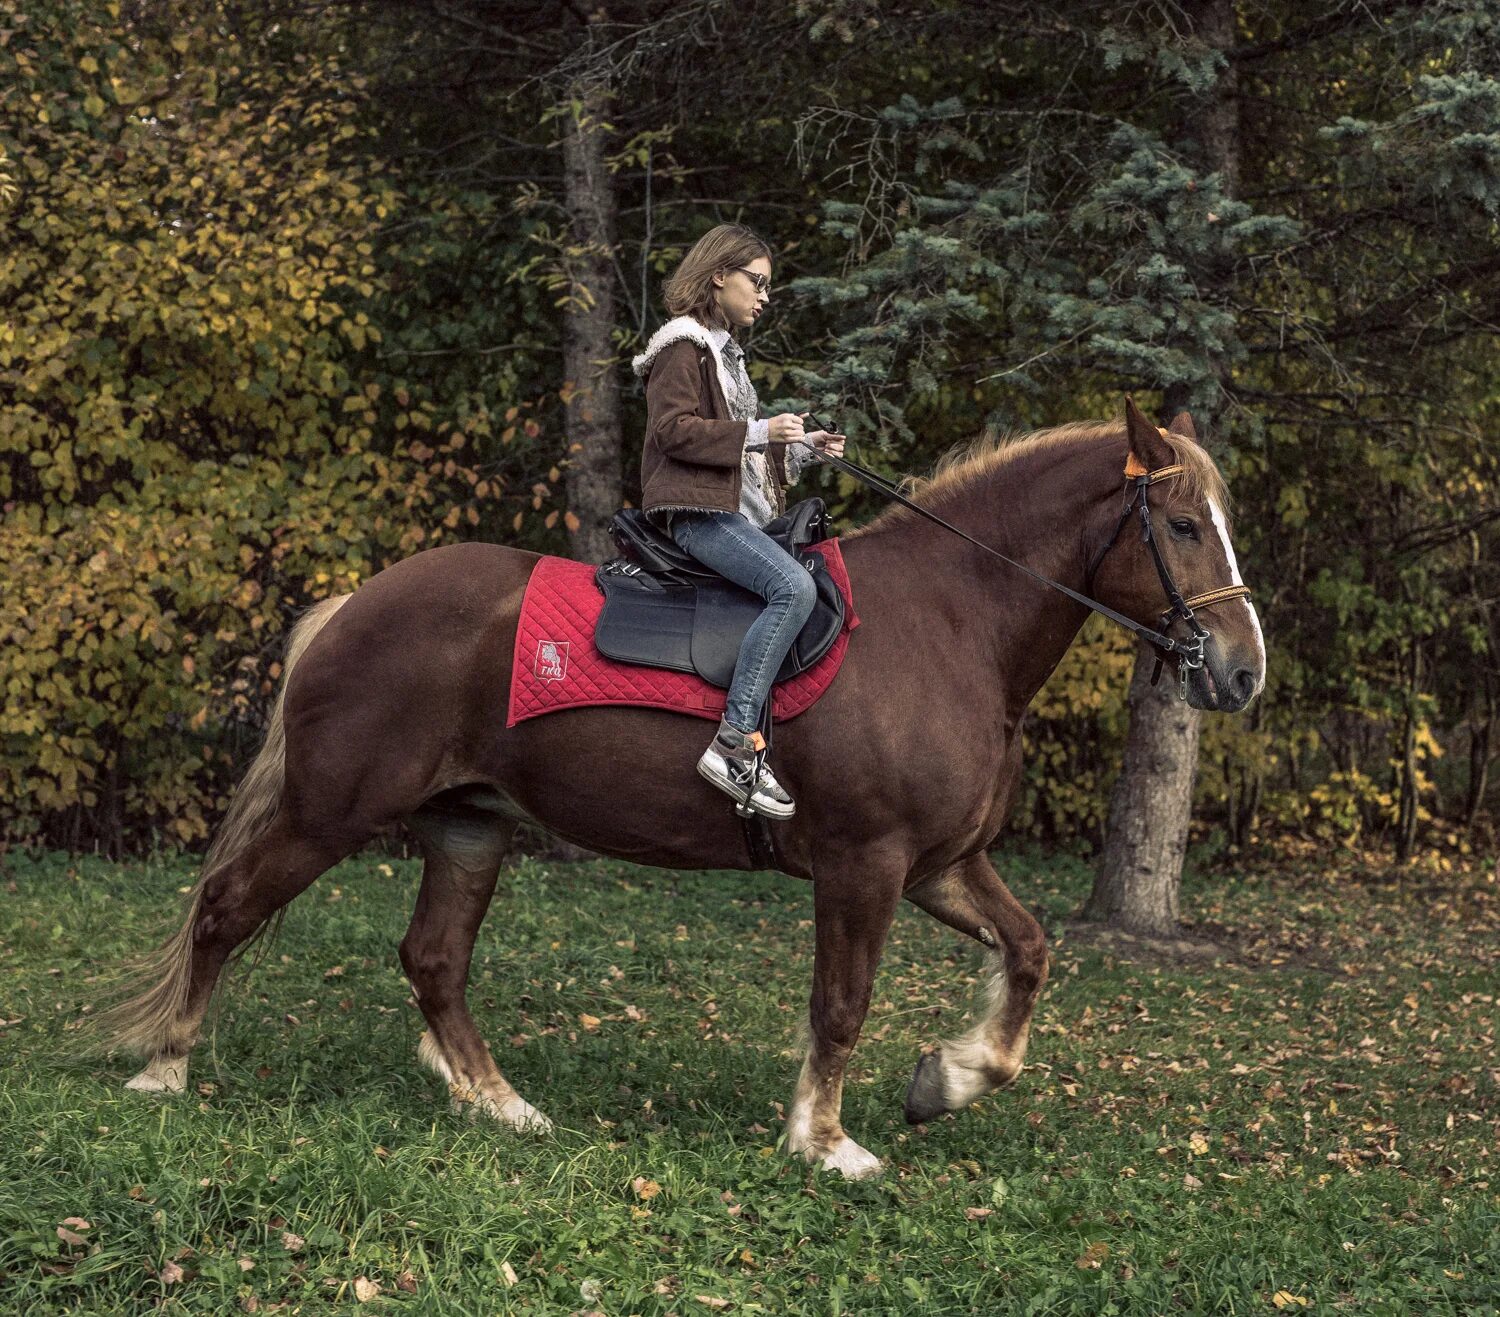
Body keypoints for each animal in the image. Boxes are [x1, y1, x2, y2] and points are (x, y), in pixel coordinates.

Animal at [90, 396, 1266, 1182]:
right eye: (1182, 526)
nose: (1242, 672)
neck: (947, 623)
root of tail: (355, 605)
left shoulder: (942, 864)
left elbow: (1028, 952)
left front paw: (950, 1078)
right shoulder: (866, 863)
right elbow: (841, 1003)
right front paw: (825, 1141)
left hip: (470, 830)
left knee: (433, 962)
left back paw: (502, 1105)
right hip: (328, 812)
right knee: (226, 909)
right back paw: (164, 1071)